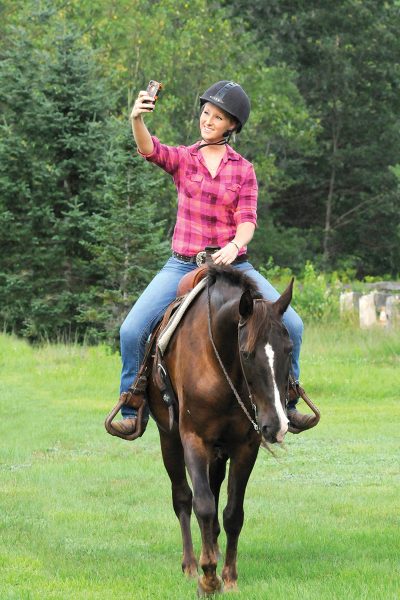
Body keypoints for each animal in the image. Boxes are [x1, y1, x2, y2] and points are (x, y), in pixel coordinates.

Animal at [146, 264, 294, 592]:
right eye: (247, 353)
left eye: (290, 349)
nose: (276, 426)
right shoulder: (194, 440)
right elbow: (202, 504)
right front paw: (209, 577)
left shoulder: (245, 446)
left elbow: (232, 513)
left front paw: (229, 576)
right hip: (169, 439)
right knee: (183, 497)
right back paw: (191, 565)